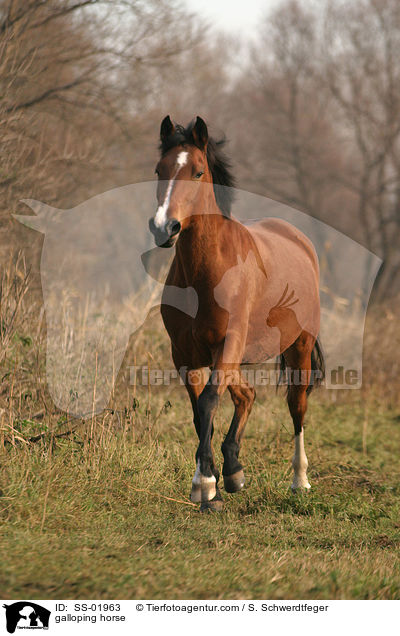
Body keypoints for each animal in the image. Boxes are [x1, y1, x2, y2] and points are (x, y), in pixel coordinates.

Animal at [148, 114, 324, 512]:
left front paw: (204, 485)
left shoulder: (226, 345)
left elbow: (210, 402)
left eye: (198, 171)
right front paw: (212, 483)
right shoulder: (185, 355)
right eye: (159, 170)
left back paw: (299, 480)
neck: (207, 273)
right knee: (246, 396)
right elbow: (200, 412)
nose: (164, 227)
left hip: (298, 349)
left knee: (297, 405)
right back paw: (233, 469)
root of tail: (300, 241)